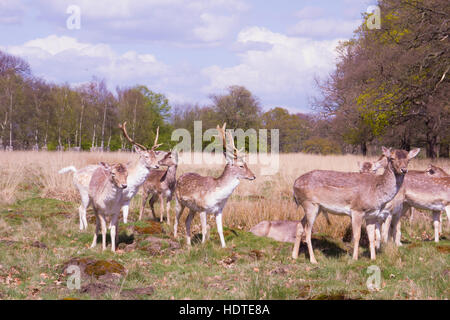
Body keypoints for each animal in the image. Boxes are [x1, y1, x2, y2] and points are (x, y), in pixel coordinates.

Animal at [292, 148, 422, 262]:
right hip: (310, 204)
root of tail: (294, 185)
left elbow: (371, 237)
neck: (376, 192)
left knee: (300, 225)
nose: (404, 169)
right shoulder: (357, 210)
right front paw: (355, 258)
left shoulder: (372, 215)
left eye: (409, 159)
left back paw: (294, 256)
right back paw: (313, 260)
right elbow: (357, 235)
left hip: (316, 207)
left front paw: (373, 258)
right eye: (392, 158)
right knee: (308, 230)